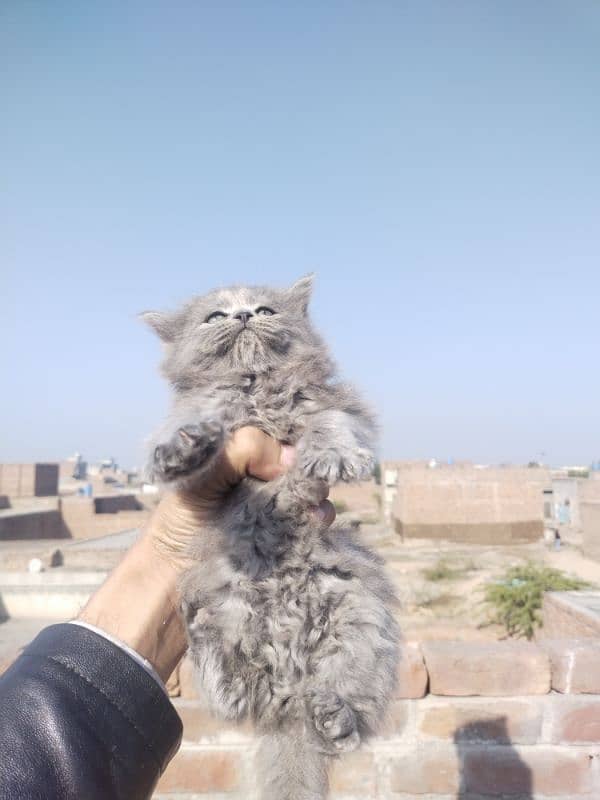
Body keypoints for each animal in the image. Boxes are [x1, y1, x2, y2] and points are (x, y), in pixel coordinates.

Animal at [143, 276, 400, 800]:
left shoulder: (335, 404)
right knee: (236, 695)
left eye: (264, 310)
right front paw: (181, 448)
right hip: (221, 602)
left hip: (364, 621)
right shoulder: (203, 416)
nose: (243, 316)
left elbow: (330, 423)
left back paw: (334, 716)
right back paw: (209, 646)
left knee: (353, 711)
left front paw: (333, 454)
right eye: (215, 317)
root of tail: (292, 694)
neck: (256, 388)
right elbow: (189, 428)